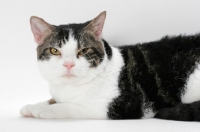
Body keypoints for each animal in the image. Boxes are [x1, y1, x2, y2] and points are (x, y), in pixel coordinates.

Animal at [19, 11, 200, 121]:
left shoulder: (117, 106)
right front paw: (34, 105)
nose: (69, 64)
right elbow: (54, 99)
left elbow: (71, 107)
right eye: (55, 50)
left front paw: (46, 109)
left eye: (84, 50)